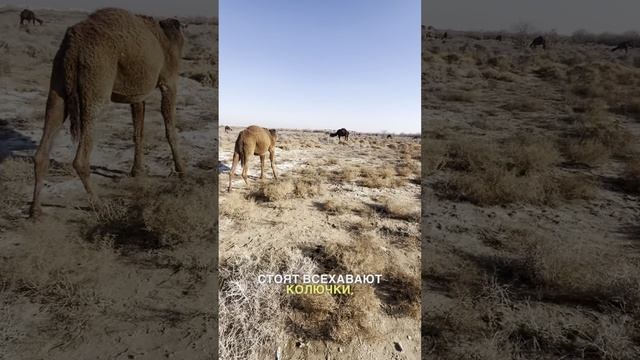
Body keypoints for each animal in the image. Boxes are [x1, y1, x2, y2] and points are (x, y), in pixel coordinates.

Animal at [30, 7, 185, 217]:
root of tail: (73, 45)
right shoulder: (169, 80)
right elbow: (170, 130)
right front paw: (182, 171)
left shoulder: (137, 93)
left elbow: (138, 131)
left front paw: (137, 171)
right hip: (97, 76)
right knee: (81, 155)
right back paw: (100, 205)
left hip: (59, 76)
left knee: (48, 130)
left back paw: (35, 210)